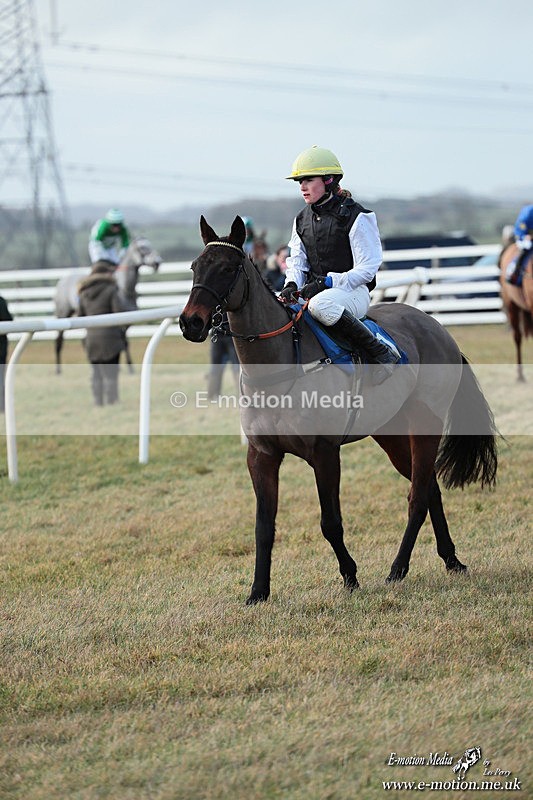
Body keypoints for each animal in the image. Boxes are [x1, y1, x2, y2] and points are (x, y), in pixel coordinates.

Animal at [54, 237, 161, 374]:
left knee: (84, 341)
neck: (124, 289)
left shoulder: (126, 323)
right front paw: (128, 367)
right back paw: (58, 369)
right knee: (59, 340)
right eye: (142, 248)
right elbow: (123, 343)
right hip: (63, 314)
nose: (157, 262)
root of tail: (62, 279)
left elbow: (123, 342)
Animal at [179, 216, 498, 605]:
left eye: (227, 268)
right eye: (195, 266)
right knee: (429, 487)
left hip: (426, 425)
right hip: (390, 433)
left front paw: (350, 576)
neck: (280, 366)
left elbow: (330, 522)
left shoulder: (324, 451)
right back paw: (451, 559)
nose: (190, 322)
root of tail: (439, 329)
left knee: (418, 495)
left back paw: (398, 568)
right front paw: (258, 592)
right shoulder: (261, 455)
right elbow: (263, 526)